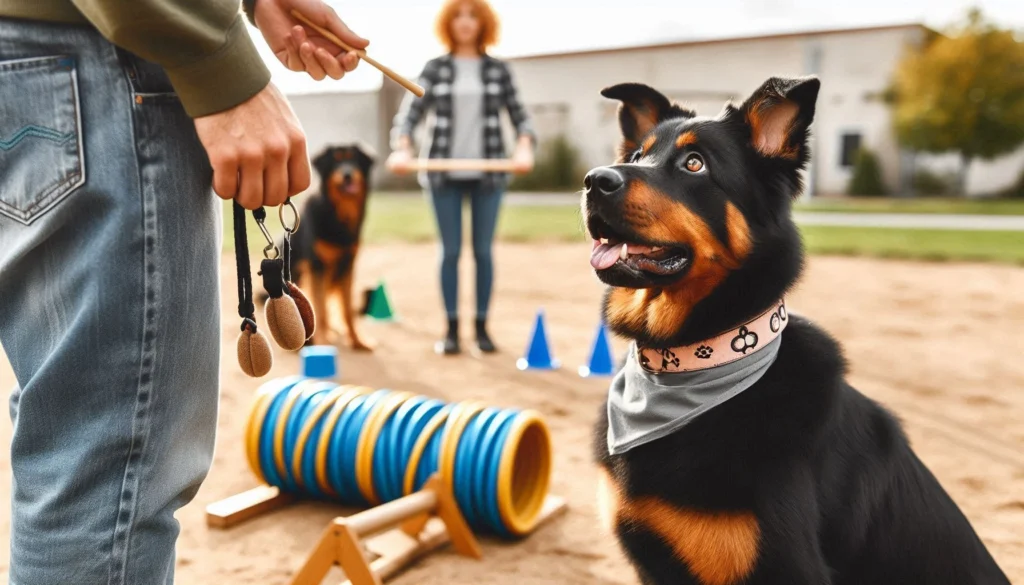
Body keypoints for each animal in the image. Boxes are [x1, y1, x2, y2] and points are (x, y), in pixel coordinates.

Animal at [288, 143, 376, 350]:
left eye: (354, 159)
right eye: (335, 161)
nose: (347, 174)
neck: (339, 215)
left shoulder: (349, 264)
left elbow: (347, 310)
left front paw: (357, 340)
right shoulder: (316, 266)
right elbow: (320, 311)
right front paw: (323, 342)